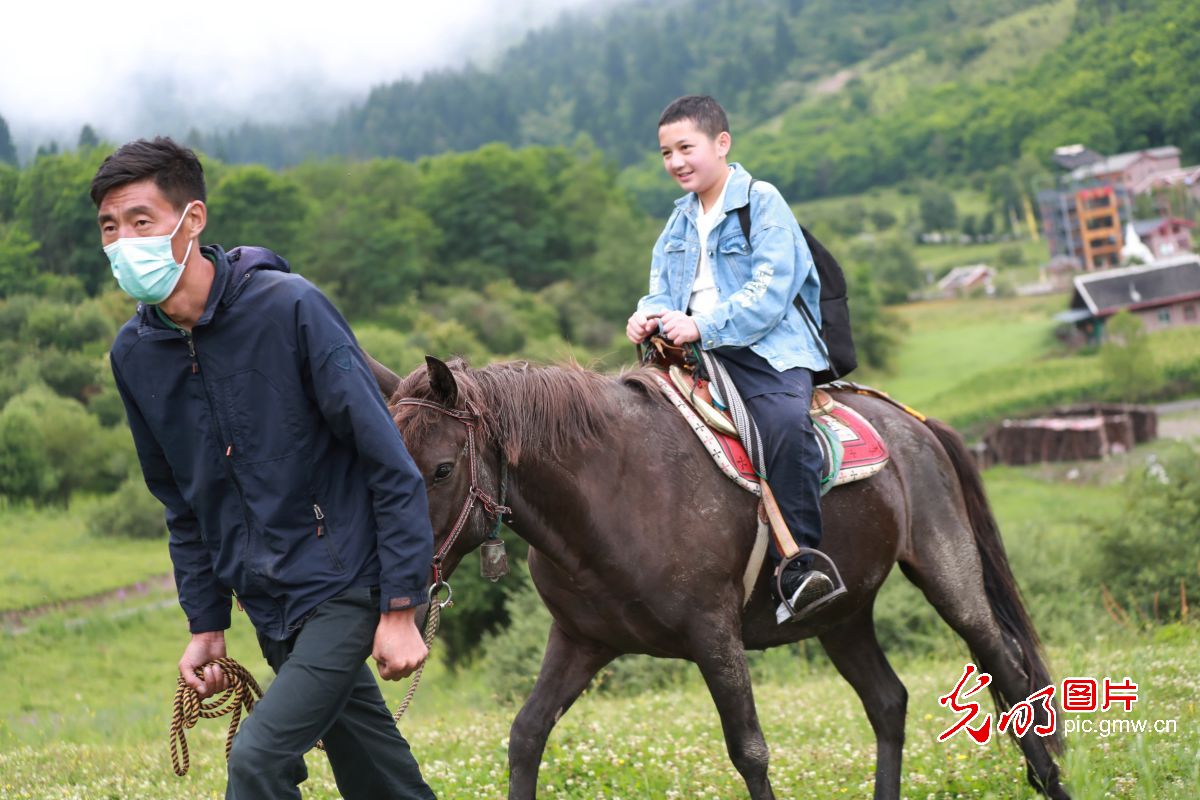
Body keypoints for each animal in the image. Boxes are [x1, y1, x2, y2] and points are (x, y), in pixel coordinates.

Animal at [369, 357, 1065, 800]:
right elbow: (525, 737)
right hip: (841, 618)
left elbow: (749, 751)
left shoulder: (714, 636)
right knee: (888, 702)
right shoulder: (580, 641)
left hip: (949, 577)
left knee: (1006, 669)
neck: (615, 490)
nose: (396, 585)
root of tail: (915, 424)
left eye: (439, 469)